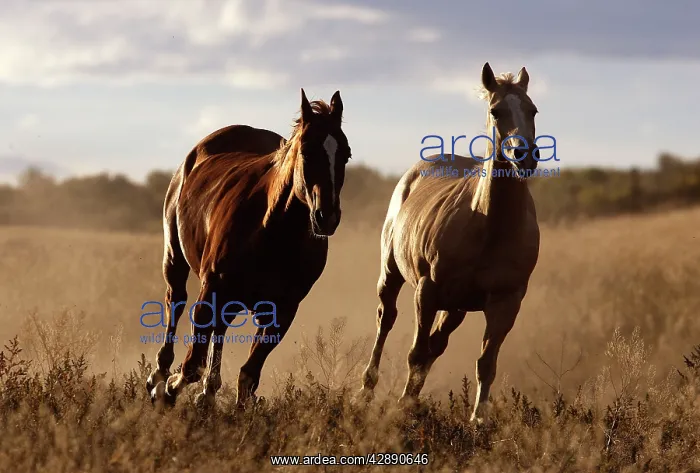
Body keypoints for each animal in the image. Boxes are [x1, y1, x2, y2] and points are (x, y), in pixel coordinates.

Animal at [146, 89, 352, 408]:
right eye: (306, 151)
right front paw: (166, 390)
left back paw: (208, 392)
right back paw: (160, 376)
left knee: (220, 328)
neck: (272, 233)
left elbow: (248, 375)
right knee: (175, 302)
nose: (326, 217)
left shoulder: (283, 309)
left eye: (346, 154)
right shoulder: (212, 288)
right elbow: (192, 365)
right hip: (175, 258)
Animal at [358, 63, 540, 423]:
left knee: (437, 344)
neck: (489, 226)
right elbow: (416, 353)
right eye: (496, 110)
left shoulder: (507, 302)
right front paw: (402, 409)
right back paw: (366, 391)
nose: (524, 157)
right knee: (386, 318)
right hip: (392, 274)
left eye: (533, 110)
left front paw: (478, 420)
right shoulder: (427, 291)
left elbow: (486, 364)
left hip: (456, 307)